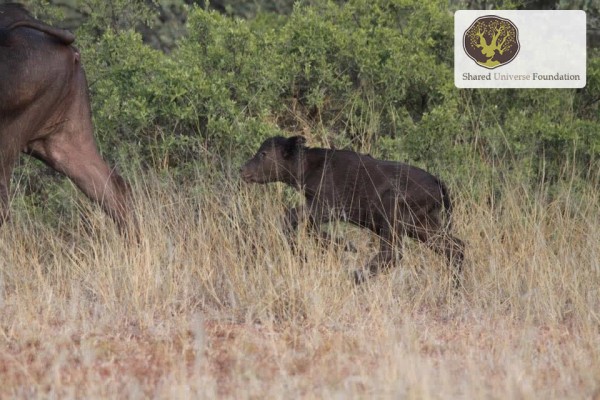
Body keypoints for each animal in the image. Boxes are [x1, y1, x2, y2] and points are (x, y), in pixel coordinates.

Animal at [241, 136, 465, 285]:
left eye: (263, 154)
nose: (243, 170)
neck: (308, 166)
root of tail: (438, 183)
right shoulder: (319, 209)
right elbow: (306, 227)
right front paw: (340, 245)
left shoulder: (327, 207)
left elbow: (291, 218)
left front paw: (345, 246)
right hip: (421, 226)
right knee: (455, 247)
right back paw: (454, 287)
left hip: (395, 219)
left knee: (393, 253)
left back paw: (356, 276)